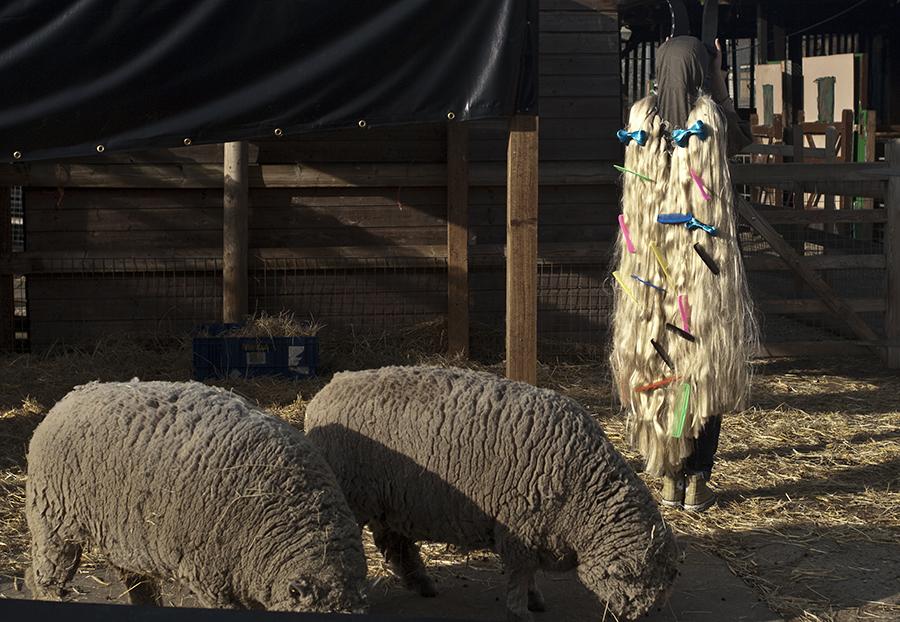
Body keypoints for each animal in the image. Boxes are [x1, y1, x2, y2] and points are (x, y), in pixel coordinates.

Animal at [25, 379, 367, 613]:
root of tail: (73, 394)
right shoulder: (211, 578)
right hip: (53, 519)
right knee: (43, 575)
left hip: (121, 530)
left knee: (136, 581)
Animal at [305, 365, 679, 621]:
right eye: (648, 585)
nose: (646, 615)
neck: (585, 494)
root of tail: (327, 391)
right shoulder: (520, 529)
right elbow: (519, 574)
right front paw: (522, 610)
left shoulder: (536, 531)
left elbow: (529, 575)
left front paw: (534, 600)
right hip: (355, 494)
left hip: (389, 498)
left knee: (394, 543)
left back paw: (422, 583)